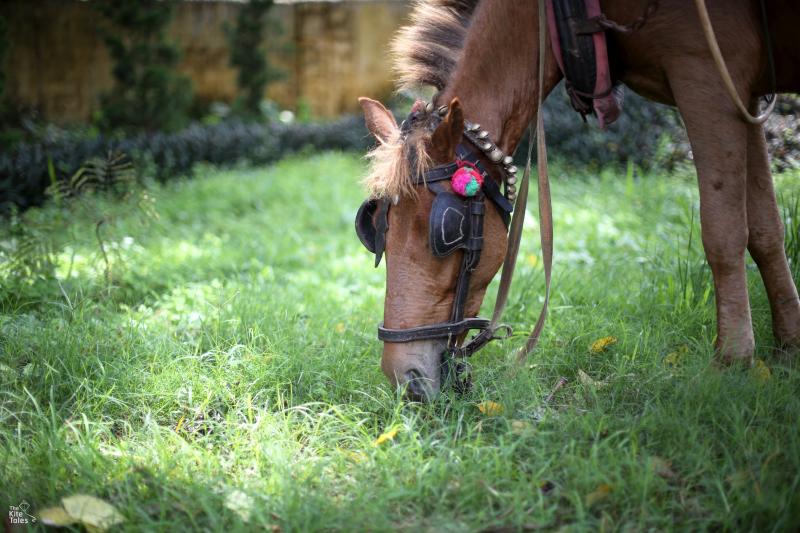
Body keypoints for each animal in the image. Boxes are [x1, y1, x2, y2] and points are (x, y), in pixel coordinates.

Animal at [358, 1, 800, 400]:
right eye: (375, 231)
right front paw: (789, 346)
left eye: (446, 230)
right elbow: (765, 227)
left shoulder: (710, 77)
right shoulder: (746, 96)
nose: (404, 379)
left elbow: (724, 232)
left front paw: (732, 361)